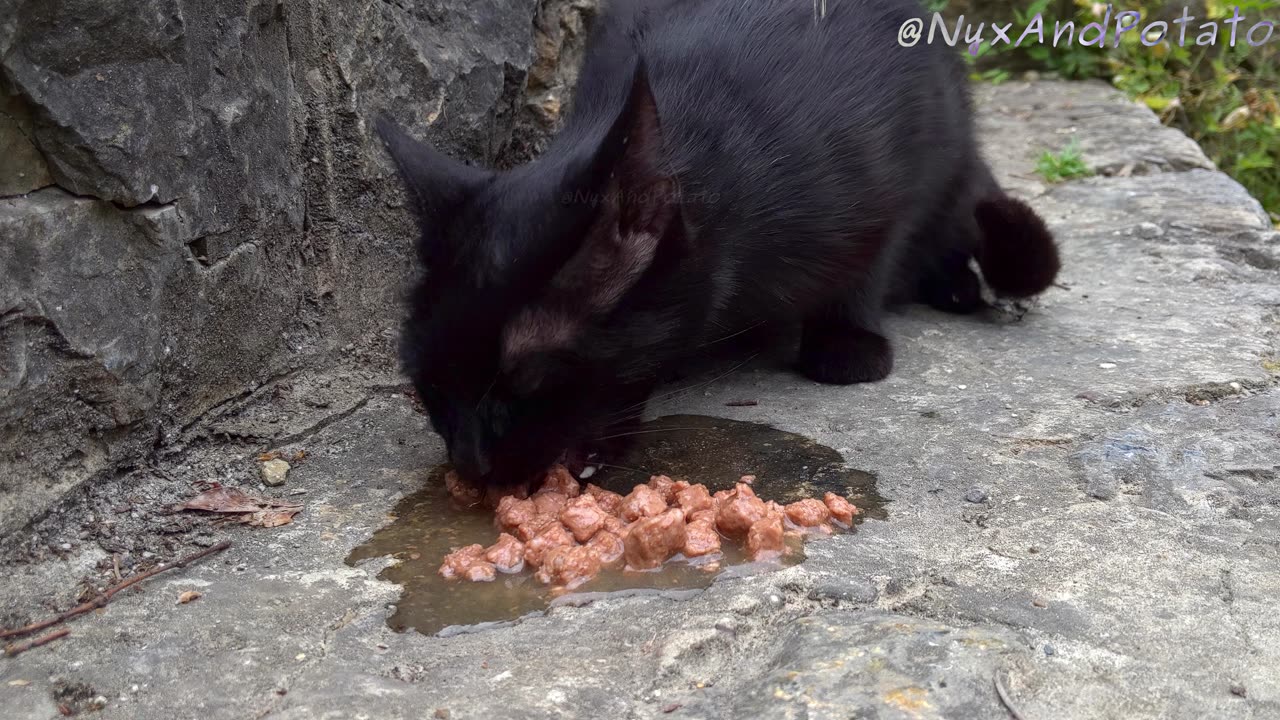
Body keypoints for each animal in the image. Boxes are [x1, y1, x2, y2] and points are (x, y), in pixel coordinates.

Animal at [376, 0, 1059, 486]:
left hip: (953, 140)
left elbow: (869, 260)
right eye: (425, 385)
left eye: (524, 381)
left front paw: (847, 341)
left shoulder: (889, 171)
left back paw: (960, 278)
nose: (470, 463)